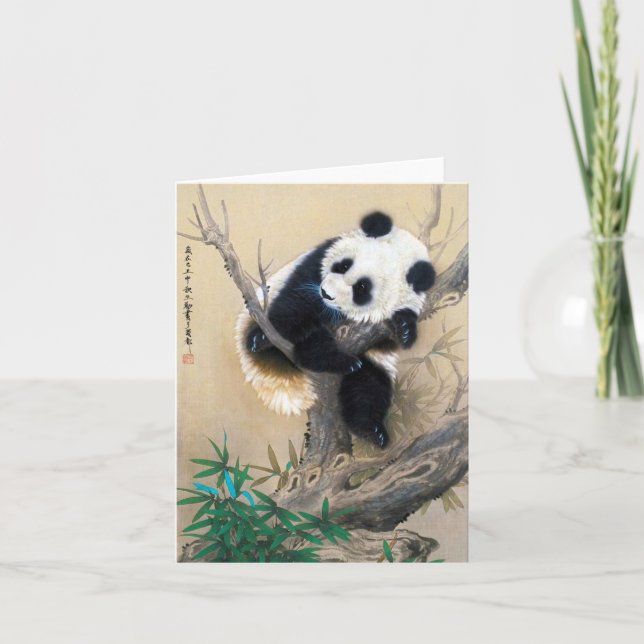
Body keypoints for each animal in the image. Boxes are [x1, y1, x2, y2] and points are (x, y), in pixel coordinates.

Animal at [235, 211, 435, 449]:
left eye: (362, 288)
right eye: (343, 266)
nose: (326, 293)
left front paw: (404, 327)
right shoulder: (316, 262)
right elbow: (298, 301)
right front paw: (262, 335)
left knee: (368, 385)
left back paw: (372, 430)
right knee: (313, 344)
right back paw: (337, 360)